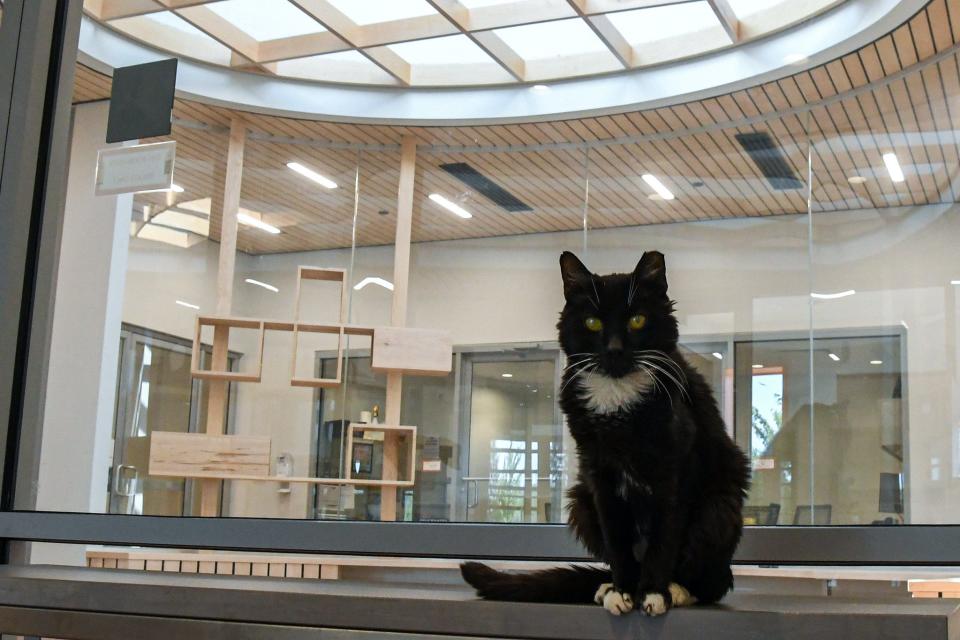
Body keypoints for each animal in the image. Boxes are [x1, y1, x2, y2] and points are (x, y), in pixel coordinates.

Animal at [464, 250, 752, 616]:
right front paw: (622, 590)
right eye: (592, 323)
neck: (617, 398)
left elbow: (665, 537)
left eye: (638, 320)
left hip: (718, 506)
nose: (614, 349)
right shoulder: (598, 472)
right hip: (580, 500)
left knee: (713, 581)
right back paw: (607, 586)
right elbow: (617, 540)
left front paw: (653, 593)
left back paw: (678, 589)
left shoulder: (673, 469)